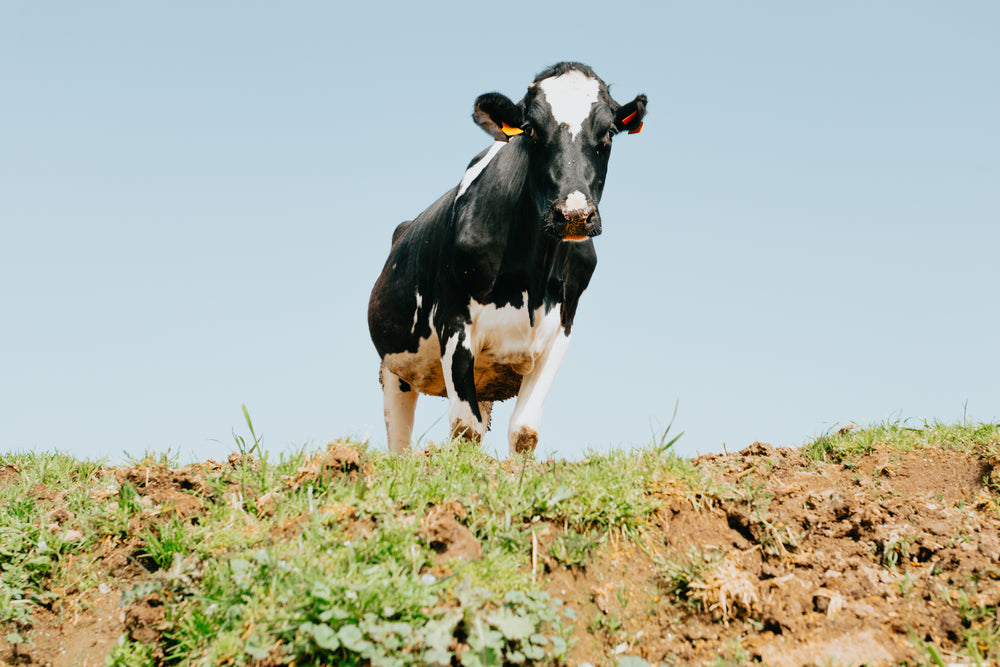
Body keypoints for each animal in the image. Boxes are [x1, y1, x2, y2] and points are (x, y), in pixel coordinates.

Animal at [370, 62, 648, 456]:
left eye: (609, 131)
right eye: (530, 129)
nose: (574, 215)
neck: (532, 281)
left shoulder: (561, 326)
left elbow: (524, 431)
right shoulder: (454, 322)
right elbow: (465, 427)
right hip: (394, 367)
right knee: (399, 439)